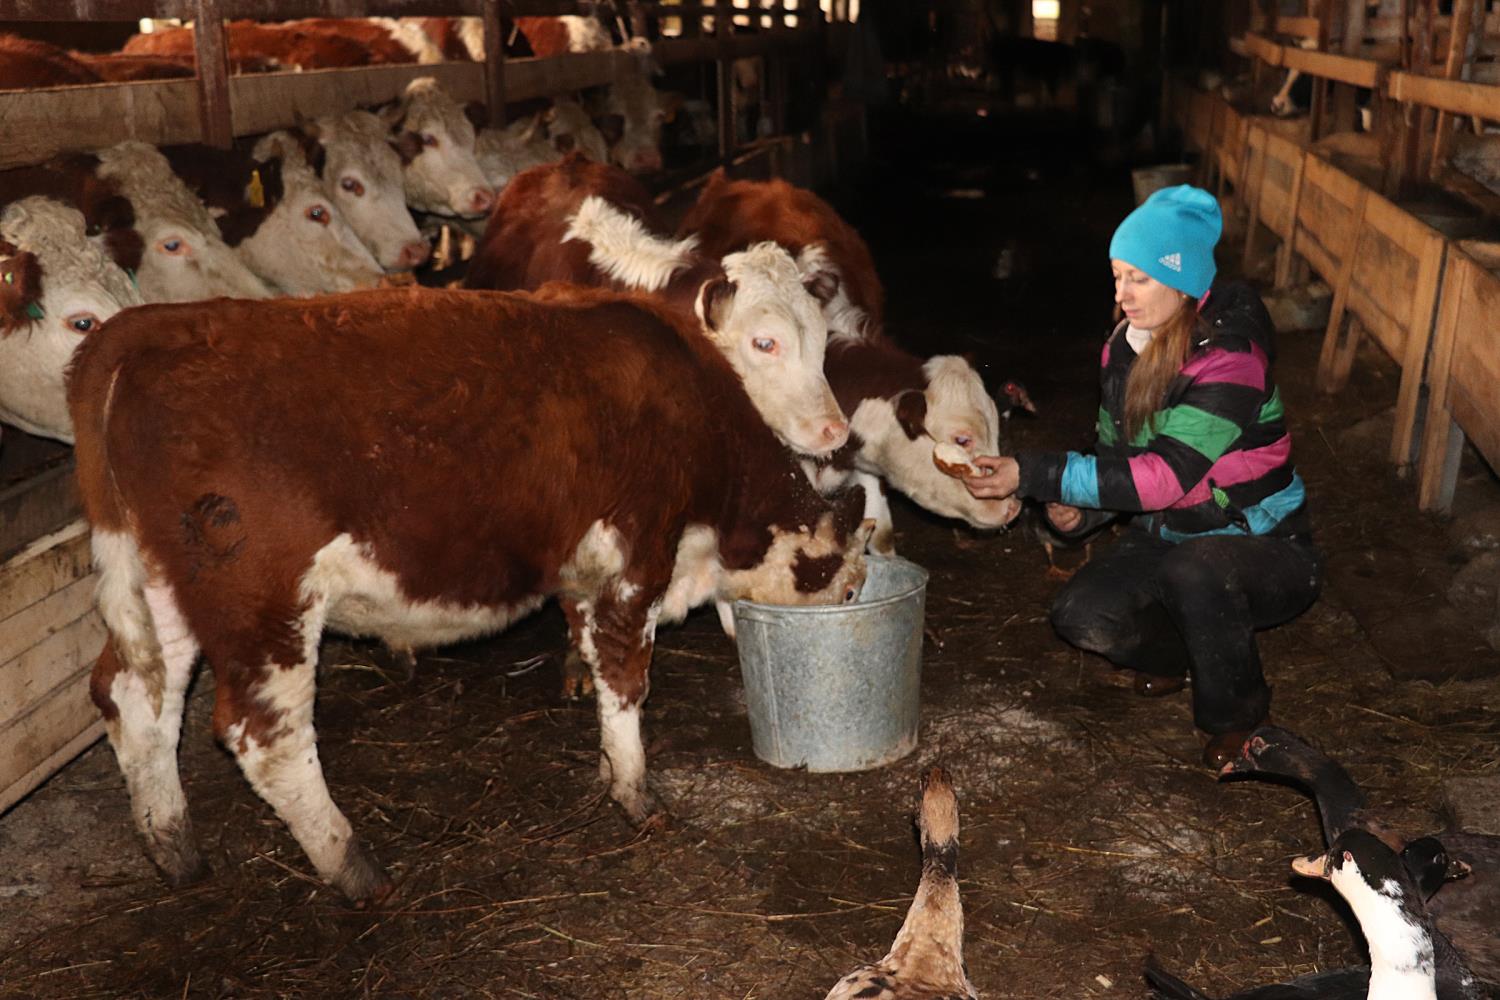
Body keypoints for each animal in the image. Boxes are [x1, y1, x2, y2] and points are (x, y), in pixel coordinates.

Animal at [70, 284, 876, 905]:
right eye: (848, 587)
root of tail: (147, 327)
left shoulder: (587, 573)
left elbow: (591, 658)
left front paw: (607, 765)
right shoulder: (635, 558)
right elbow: (626, 678)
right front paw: (637, 795)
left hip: (166, 587)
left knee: (136, 698)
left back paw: (175, 849)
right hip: (263, 599)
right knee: (264, 735)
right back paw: (353, 866)